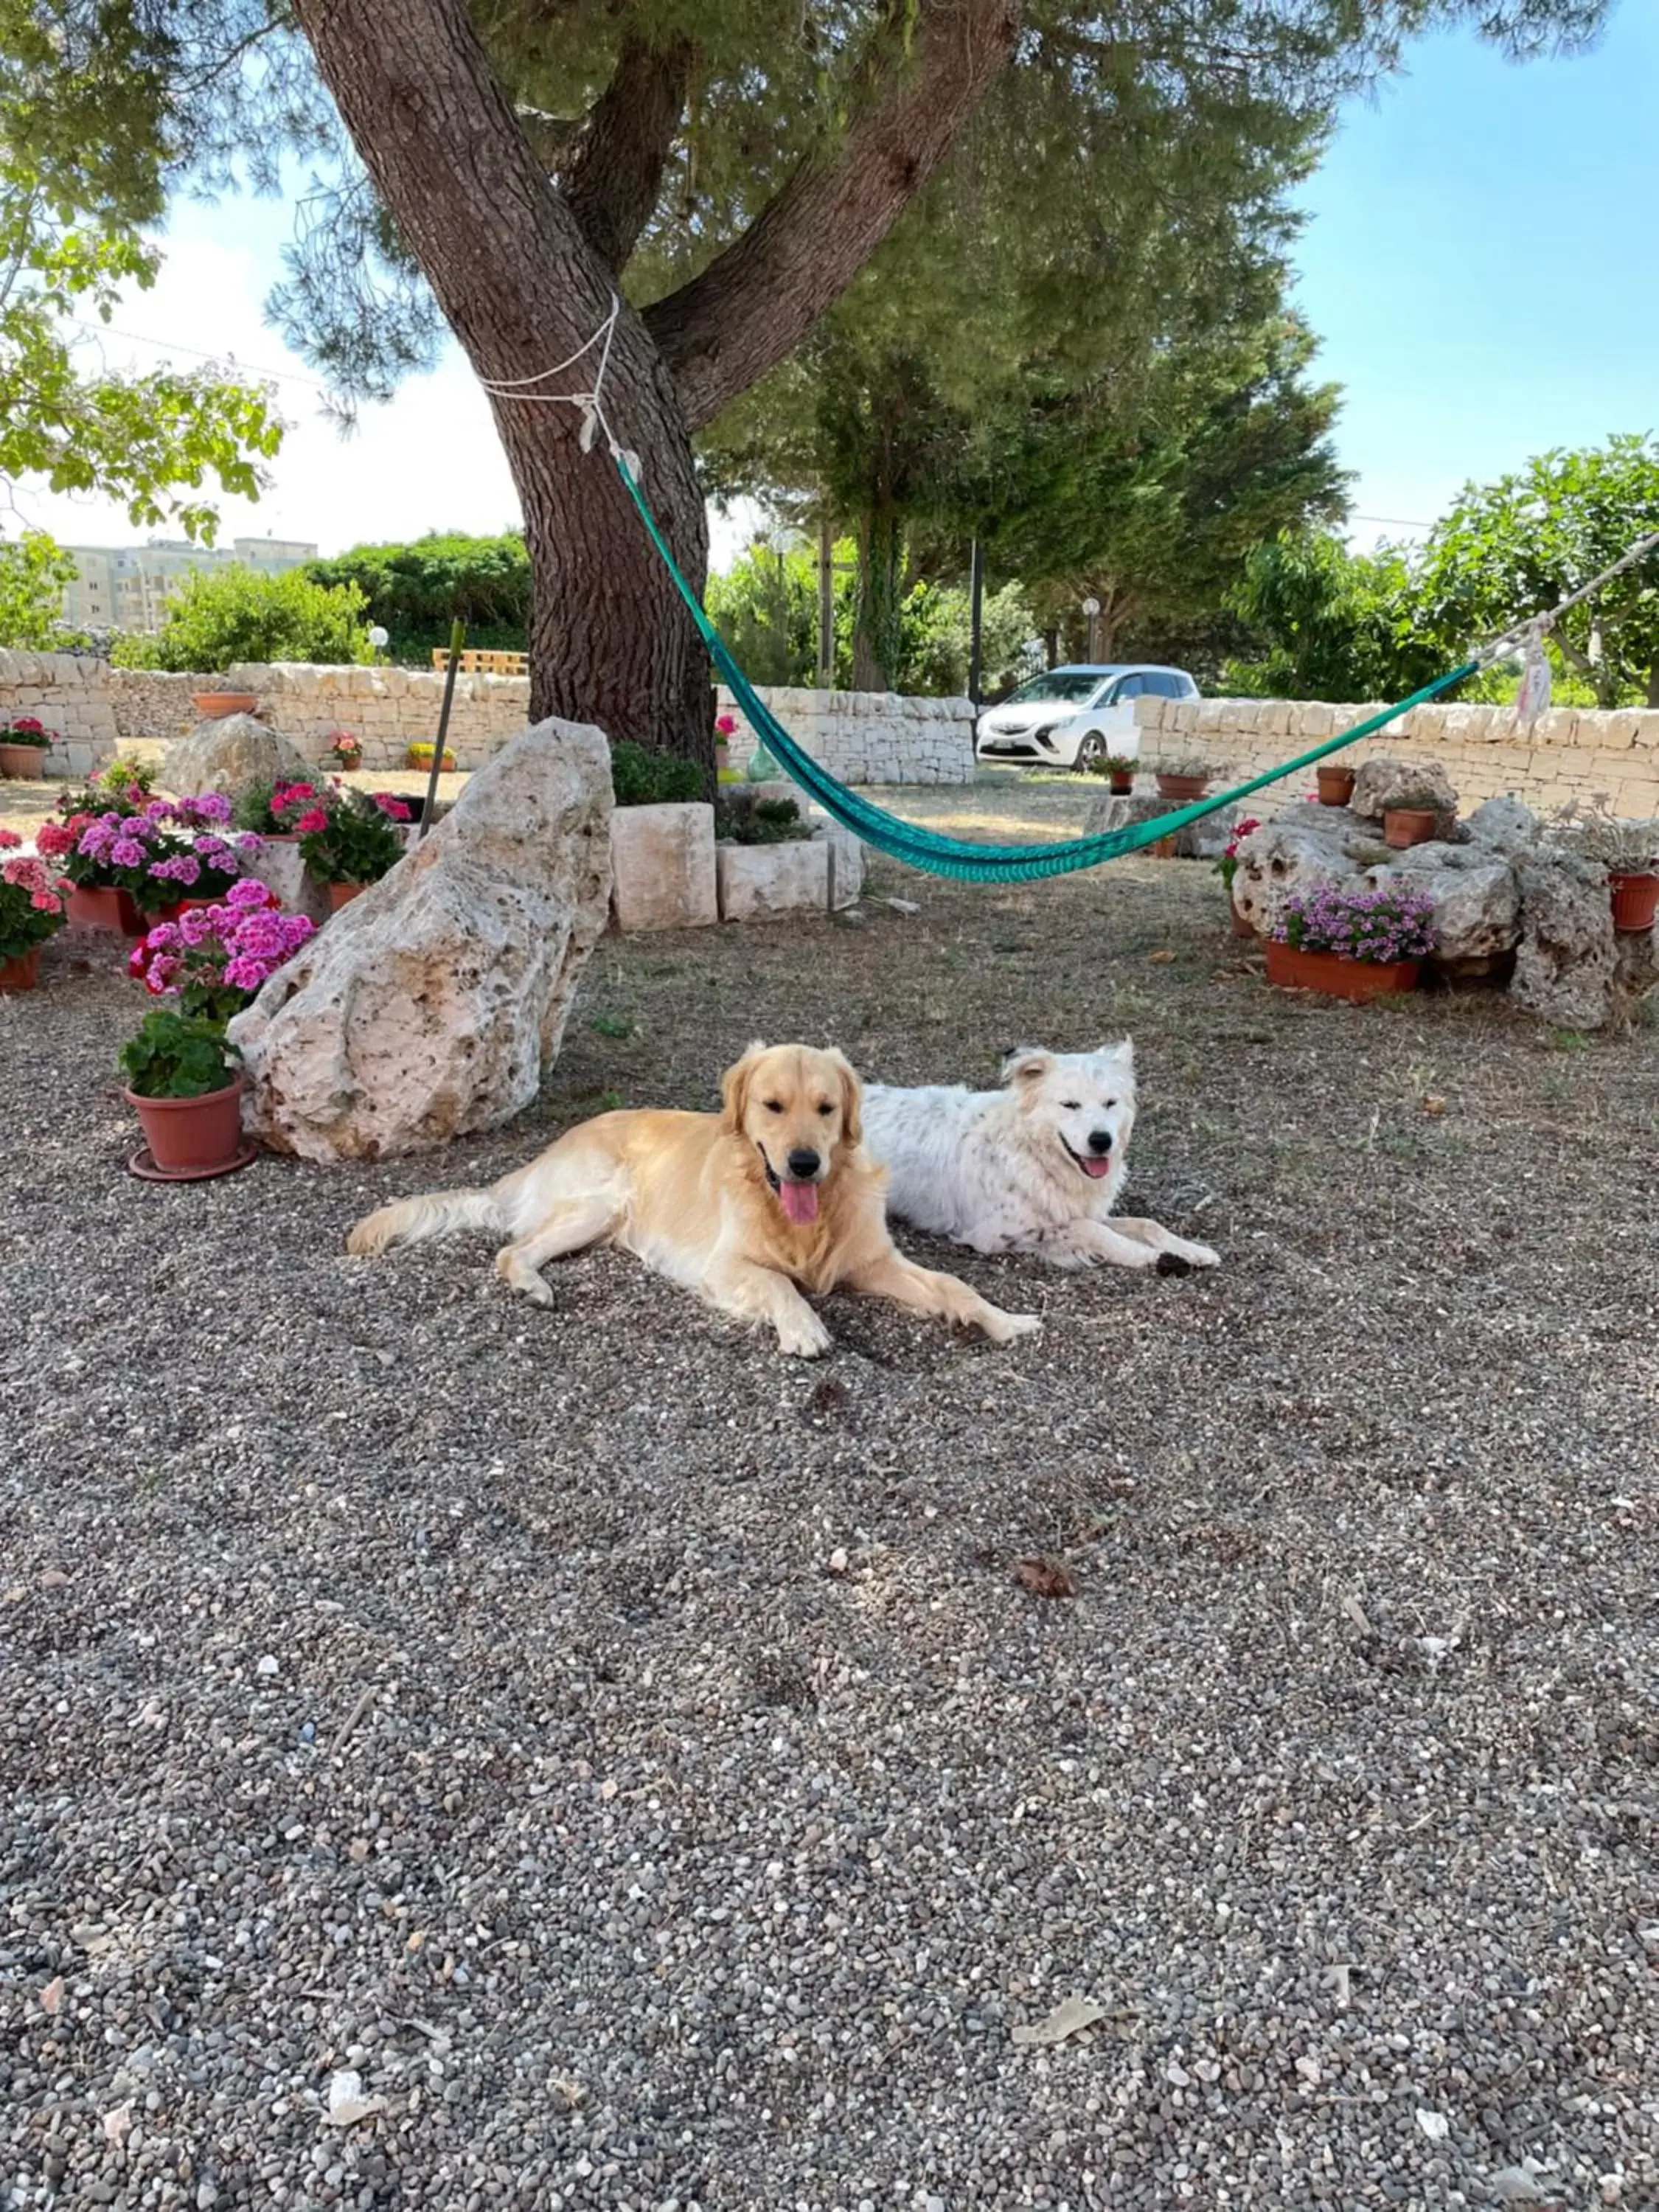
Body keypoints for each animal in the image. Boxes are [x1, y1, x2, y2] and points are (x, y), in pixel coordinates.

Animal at [863, 1040, 1230, 1274]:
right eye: (1069, 1105)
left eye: (1110, 1103)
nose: (1101, 1141)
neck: (1033, 1153)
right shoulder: (995, 1233)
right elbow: (1089, 1230)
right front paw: (1146, 1255)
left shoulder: (1078, 1208)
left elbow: (1146, 1223)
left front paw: (1192, 1250)